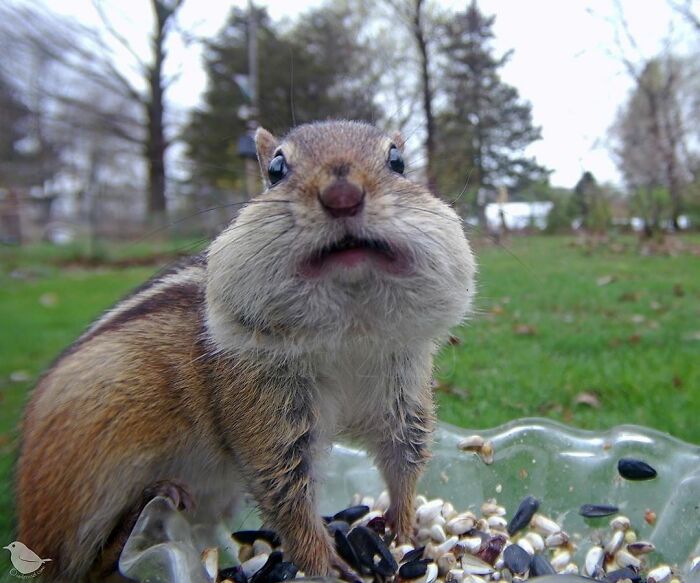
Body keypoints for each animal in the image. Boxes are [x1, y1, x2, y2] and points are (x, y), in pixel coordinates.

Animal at [16, 120, 476, 582]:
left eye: (397, 161)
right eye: (276, 169)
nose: (342, 195)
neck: (349, 333)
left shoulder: (402, 391)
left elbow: (405, 456)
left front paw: (403, 526)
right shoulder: (264, 411)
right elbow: (285, 491)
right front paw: (321, 560)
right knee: (84, 564)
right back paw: (152, 503)